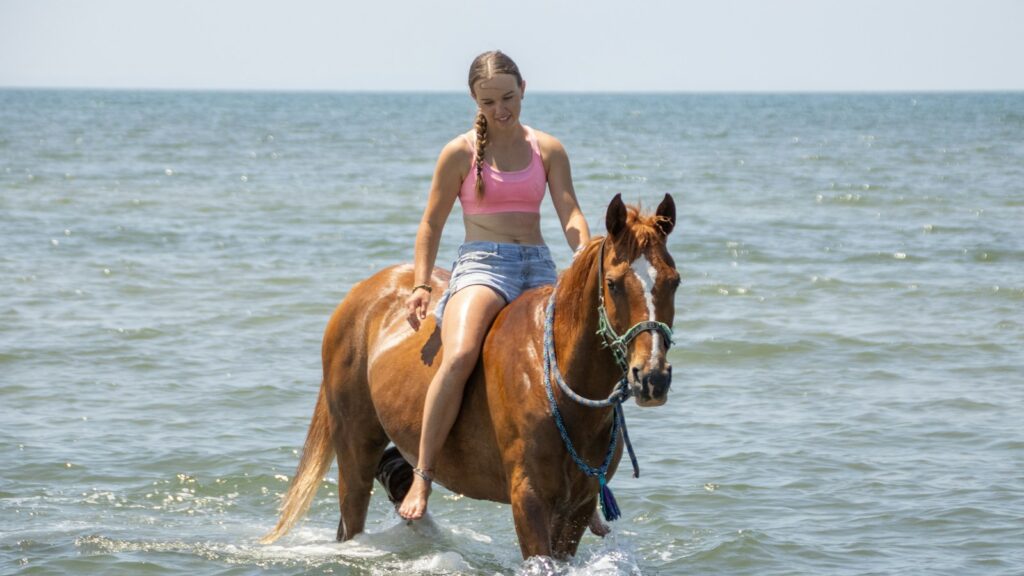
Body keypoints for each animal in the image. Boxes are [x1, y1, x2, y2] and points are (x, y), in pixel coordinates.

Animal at [261, 193, 679, 559]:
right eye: (613, 283)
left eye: (674, 281)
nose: (652, 377)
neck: (556, 385)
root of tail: (362, 293)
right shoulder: (528, 498)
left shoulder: (577, 505)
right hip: (353, 445)